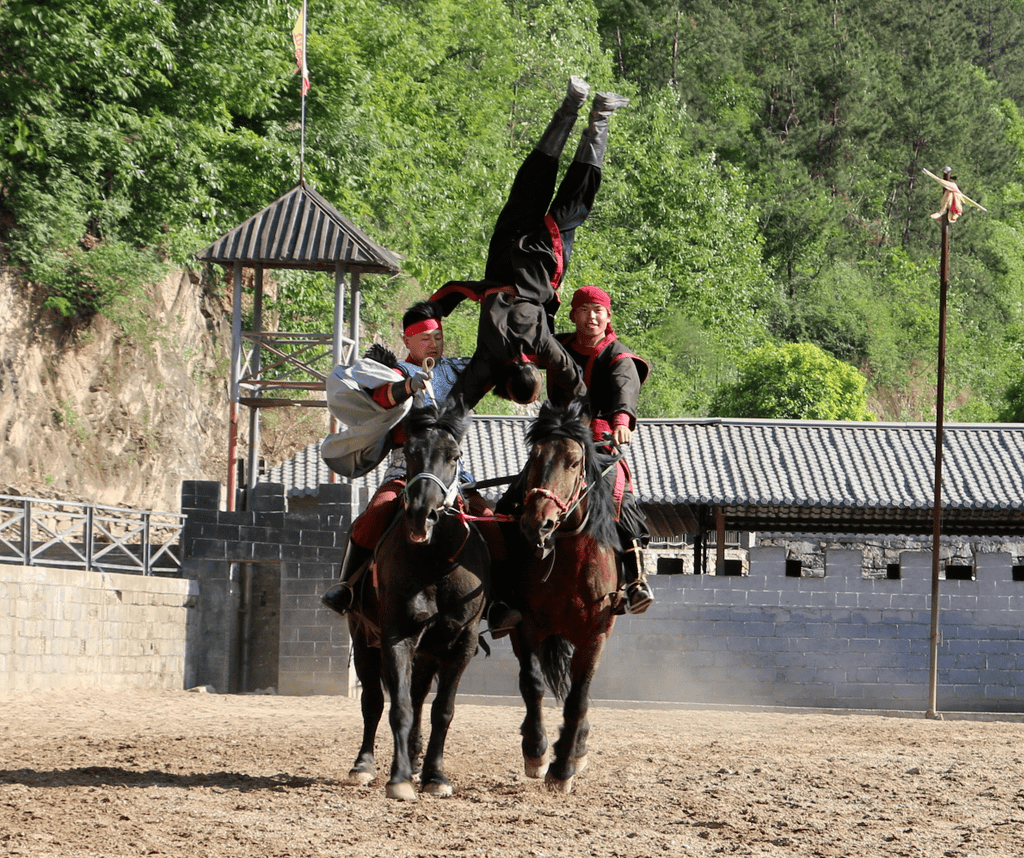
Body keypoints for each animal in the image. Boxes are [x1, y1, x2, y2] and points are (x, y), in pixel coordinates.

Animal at [342, 399, 489, 802]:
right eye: (409, 452)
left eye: (454, 456)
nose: (422, 513)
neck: (436, 560)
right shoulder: (397, 636)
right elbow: (400, 707)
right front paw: (400, 778)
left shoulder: (461, 642)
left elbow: (442, 710)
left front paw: (435, 775)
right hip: (364, 637)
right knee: (373, 701)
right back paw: (364, 765)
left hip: (429, 652)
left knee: (421, 698)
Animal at [497, 399, 622, 794]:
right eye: (534, 457)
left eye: (573, 462)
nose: (538, 522)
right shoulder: (525, 626)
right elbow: (532, 684)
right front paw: (536, 753)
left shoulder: (595, 633)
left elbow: (577, 698)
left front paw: (563, 766)